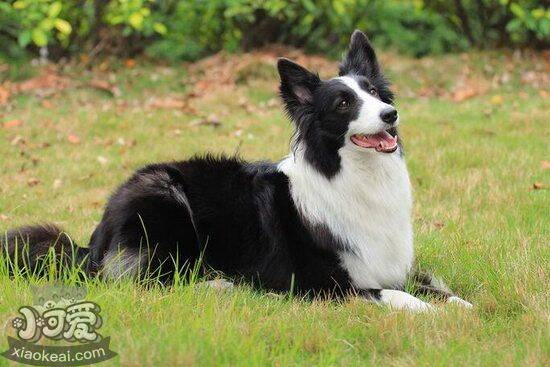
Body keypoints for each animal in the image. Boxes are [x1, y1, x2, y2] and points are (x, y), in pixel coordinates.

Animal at [3, 32, 474, 314]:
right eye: (344, 104)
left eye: (375, 93)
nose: (391, 115)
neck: (350, 175)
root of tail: (93, 241)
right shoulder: (321, 282)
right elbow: (393, 294)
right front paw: (431, 312)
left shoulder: (390, 263)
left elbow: (434, 285)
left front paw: (465, 306)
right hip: (163, 193)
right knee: (141, 280)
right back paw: (217, 285)